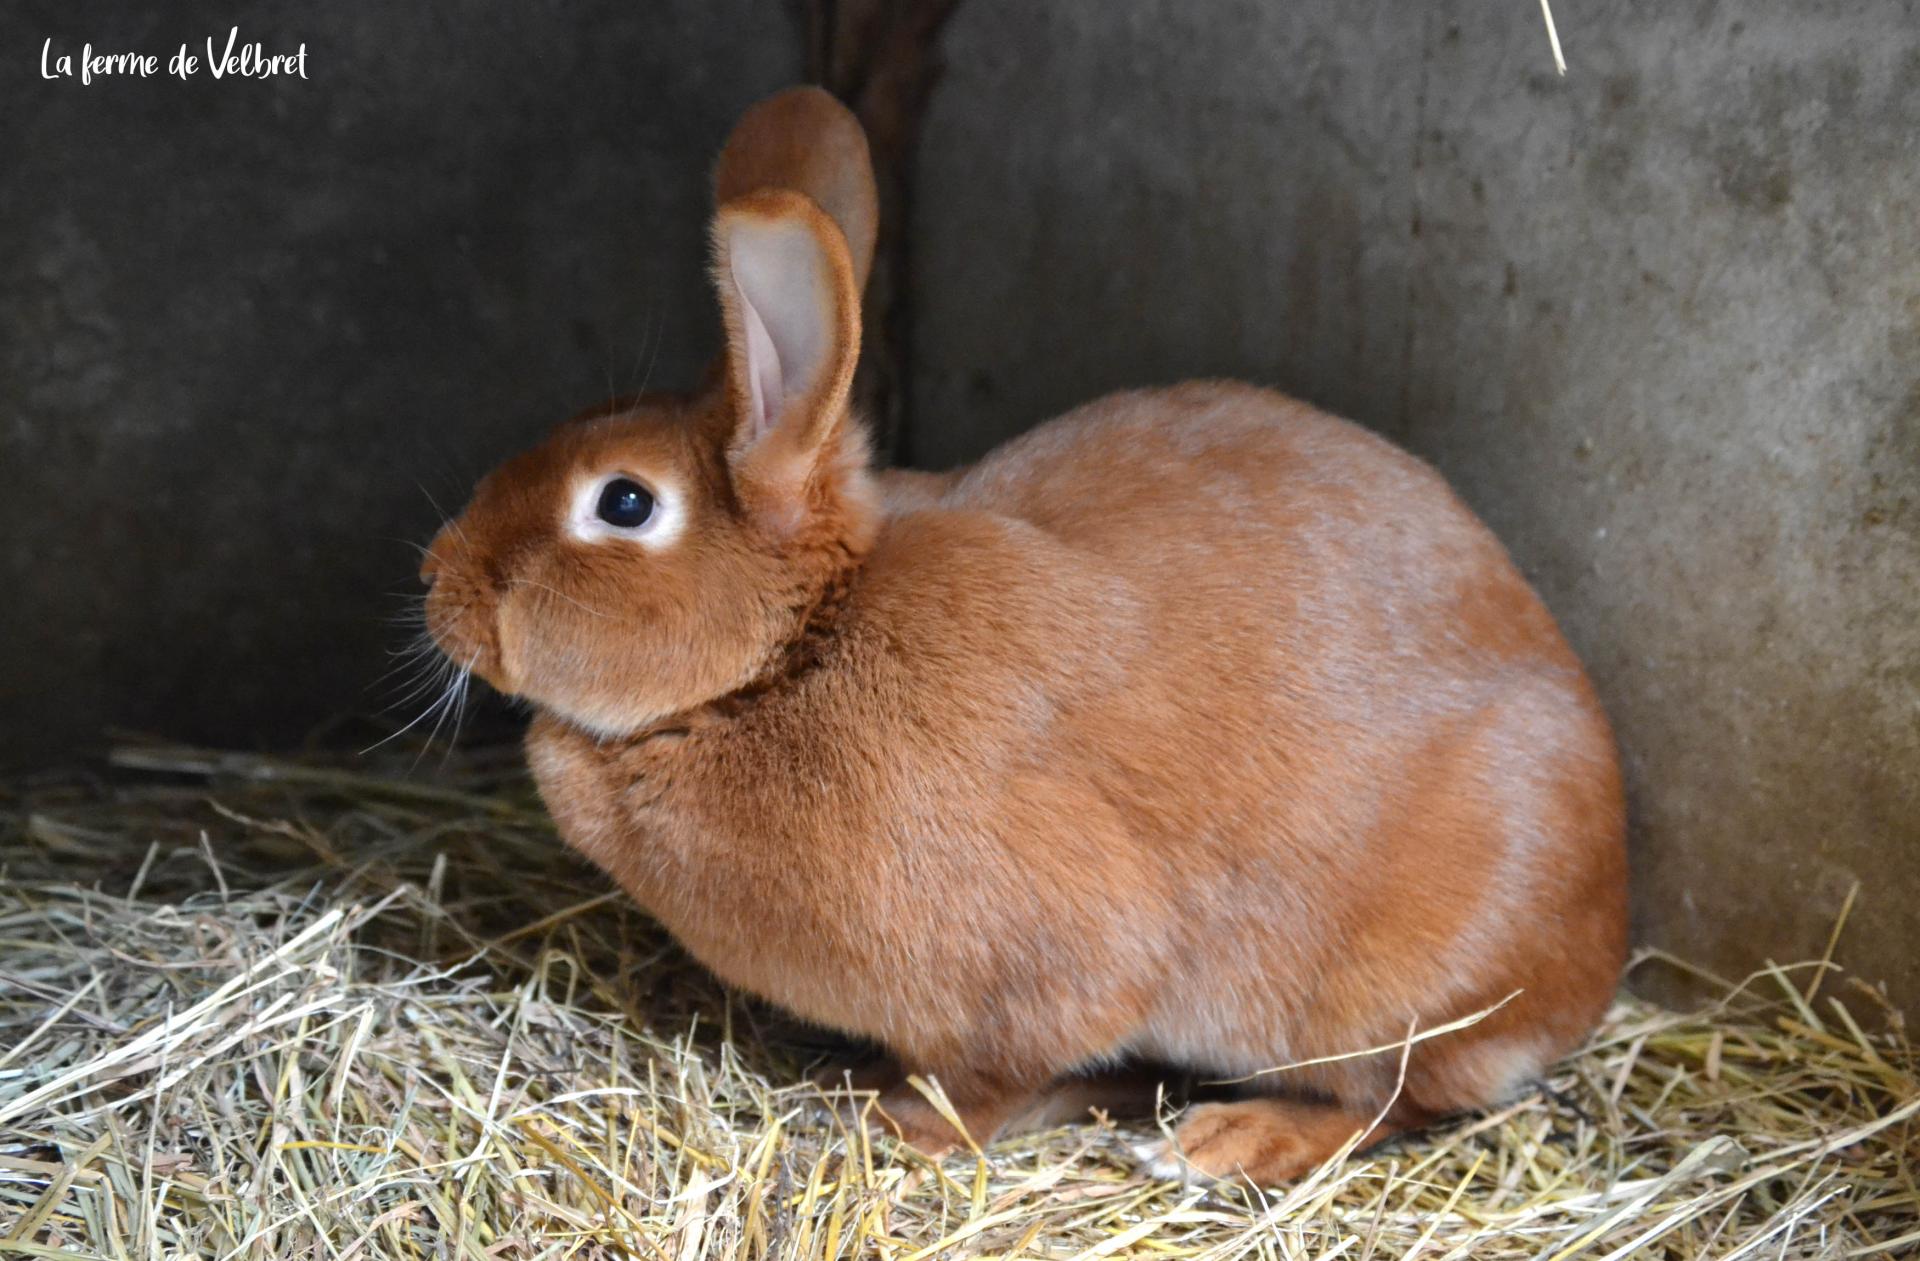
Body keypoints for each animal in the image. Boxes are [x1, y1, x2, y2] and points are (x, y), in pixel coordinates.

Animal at [420, 85, 1620, 1182]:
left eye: (623, 503)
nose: (437, 582)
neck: (791, 651)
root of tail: (1596, 949)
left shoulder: (1049, 963)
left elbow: (989, 1075)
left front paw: (889, 1119)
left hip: (1384, 993)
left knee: (1393, 1102)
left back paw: (1230, 1139)